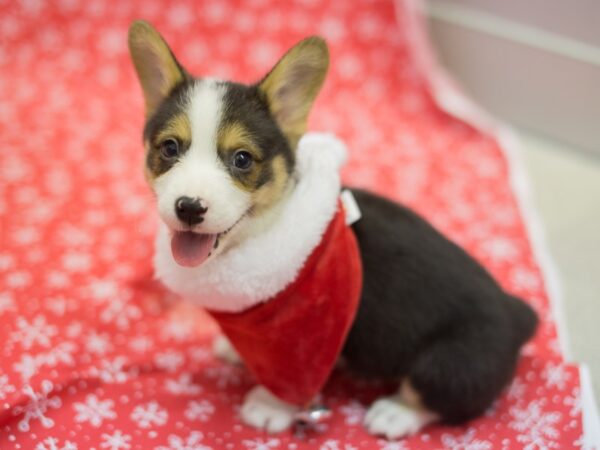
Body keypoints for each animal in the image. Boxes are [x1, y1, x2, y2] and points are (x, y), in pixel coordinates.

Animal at [127, 21, 540, 440]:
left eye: (242, 159)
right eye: (169, 148)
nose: (189, 207)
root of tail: (516, 314)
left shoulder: (303, 337)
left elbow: (293, 381)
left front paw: (270, 407)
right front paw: (236, 351)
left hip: (449, 362)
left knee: (440, 396)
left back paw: (394, 412)